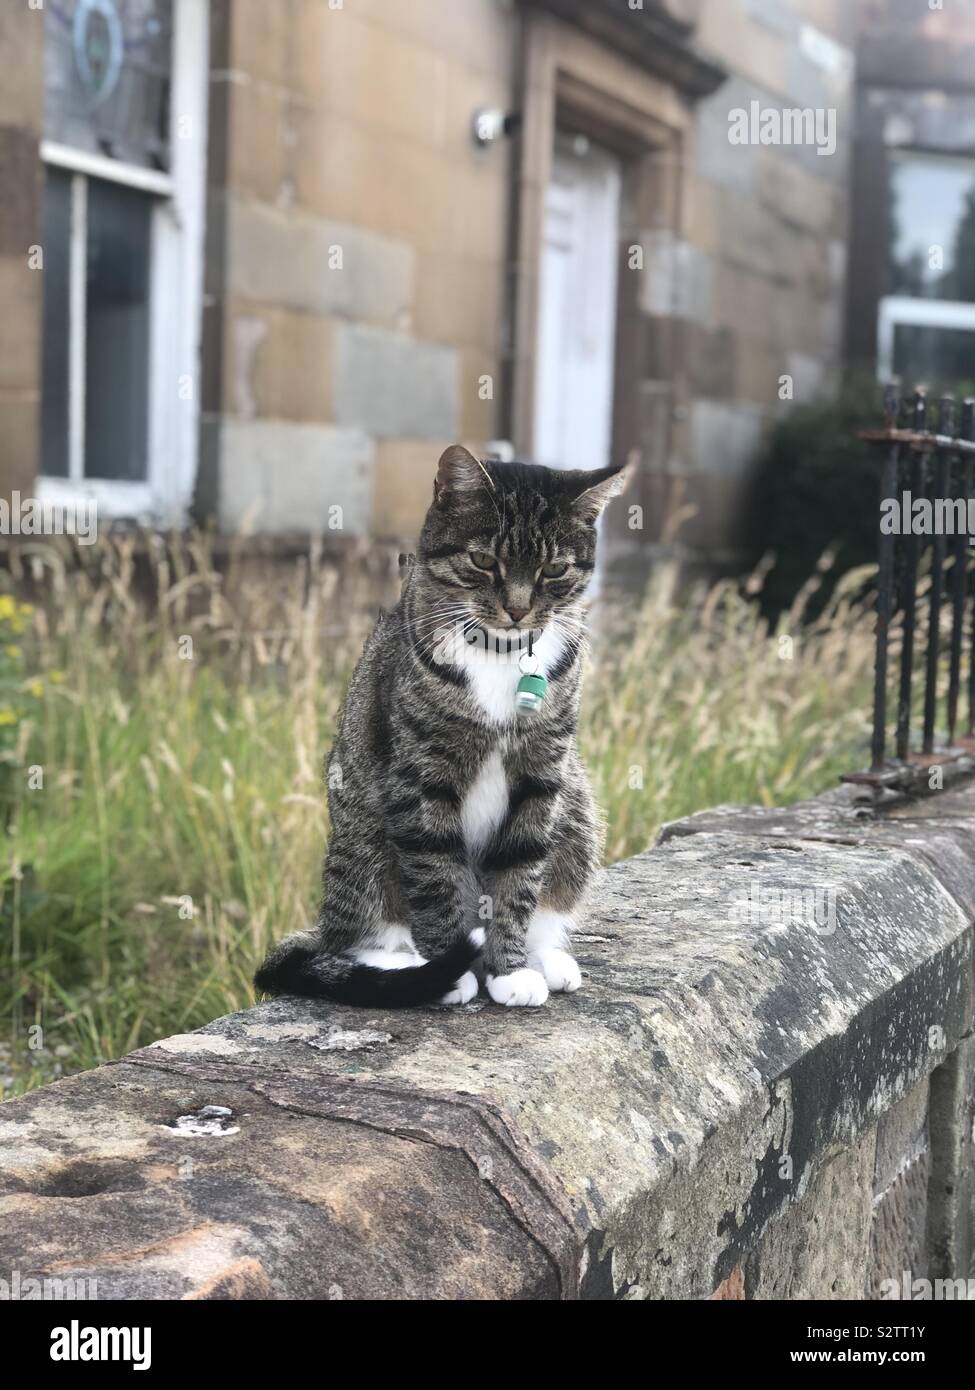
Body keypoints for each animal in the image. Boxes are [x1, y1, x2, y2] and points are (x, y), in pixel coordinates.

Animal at [254, 444, 628, 1011]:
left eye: (554, 569)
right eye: (483, 561)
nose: (518, 610)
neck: (502, 653)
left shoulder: (542, 773)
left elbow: (519, 875)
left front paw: (509, 969)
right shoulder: (421, 775)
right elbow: (434, 876)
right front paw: (451, 972)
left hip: (576, 810)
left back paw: (546, 957)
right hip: (362, 839)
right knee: (355, 935)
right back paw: (398, 961)